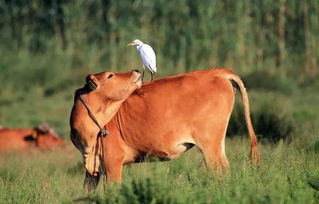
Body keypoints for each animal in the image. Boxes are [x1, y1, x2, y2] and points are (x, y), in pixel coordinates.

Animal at [70, 67, 260, 190]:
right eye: (110, 75)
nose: (136, 70)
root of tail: (217, 72)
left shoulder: (113, 163)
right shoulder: (93, 170)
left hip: (210, 145)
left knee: (219, 171)